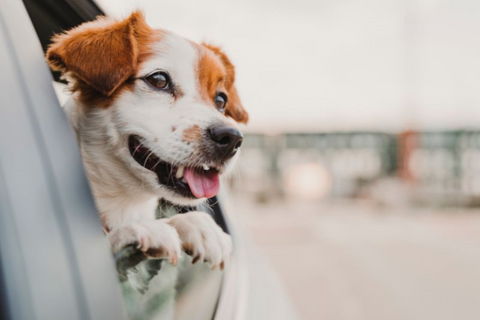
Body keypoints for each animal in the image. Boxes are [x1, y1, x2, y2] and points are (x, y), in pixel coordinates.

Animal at [46, 11, 248, 312]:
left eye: (221, 100)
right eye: (159, 80)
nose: (232, 138)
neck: (124, 202)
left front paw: (198, 226)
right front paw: (135, 230)